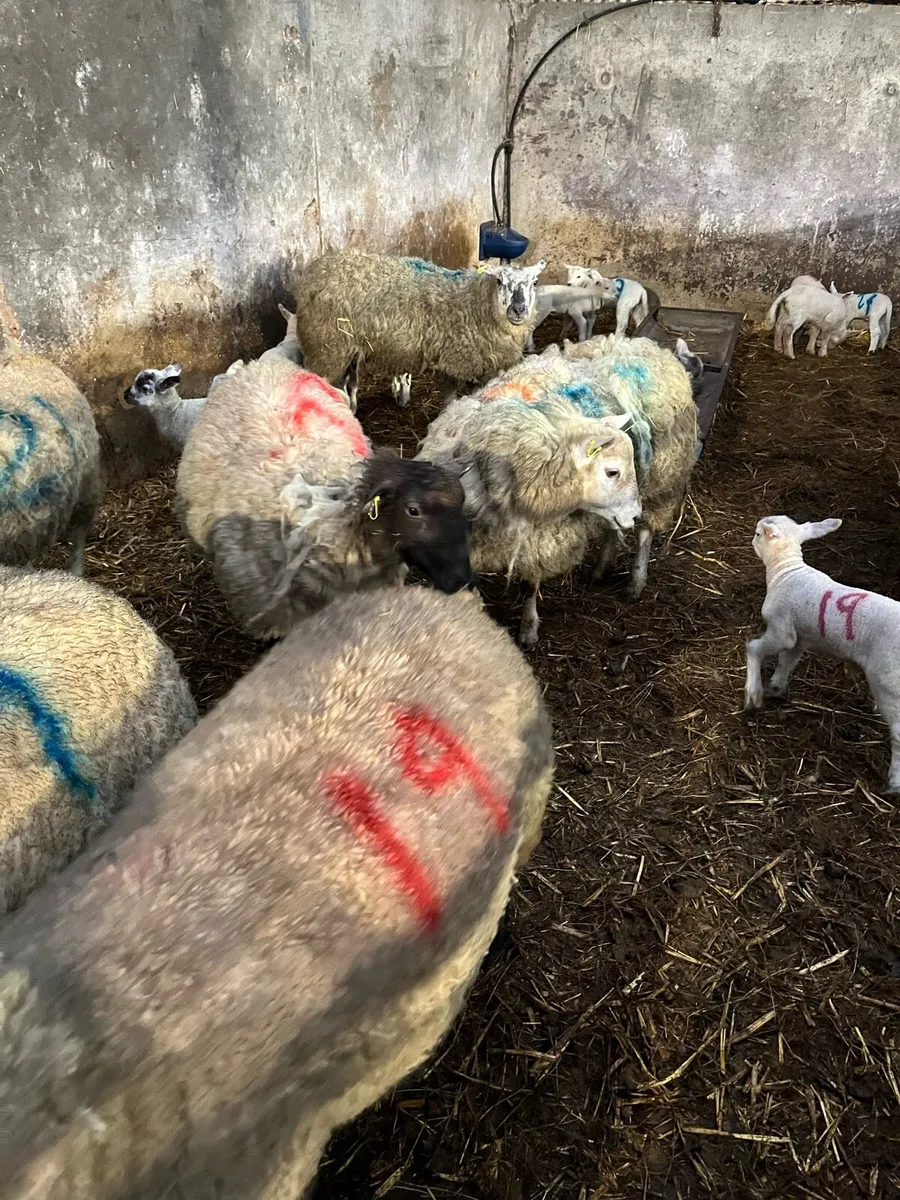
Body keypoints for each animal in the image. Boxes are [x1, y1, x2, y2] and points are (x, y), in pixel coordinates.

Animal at [294, 252, 547, 412]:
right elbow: (449, 399)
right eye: (499, 281)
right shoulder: (452, 361)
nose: (518, 309)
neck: (475, 303)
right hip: (326, 350)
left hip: (346, 351)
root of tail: (316, 268)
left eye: (535, 282)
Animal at [743, 514, 900, 793]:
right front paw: (776, 688)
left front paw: (753, 693)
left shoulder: (782, 629)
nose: (751, 540)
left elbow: (753, 648)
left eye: (758, 534)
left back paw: (894, 782)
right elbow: (786, 662)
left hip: (888, 683)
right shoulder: (801, 637)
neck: (787, 570)